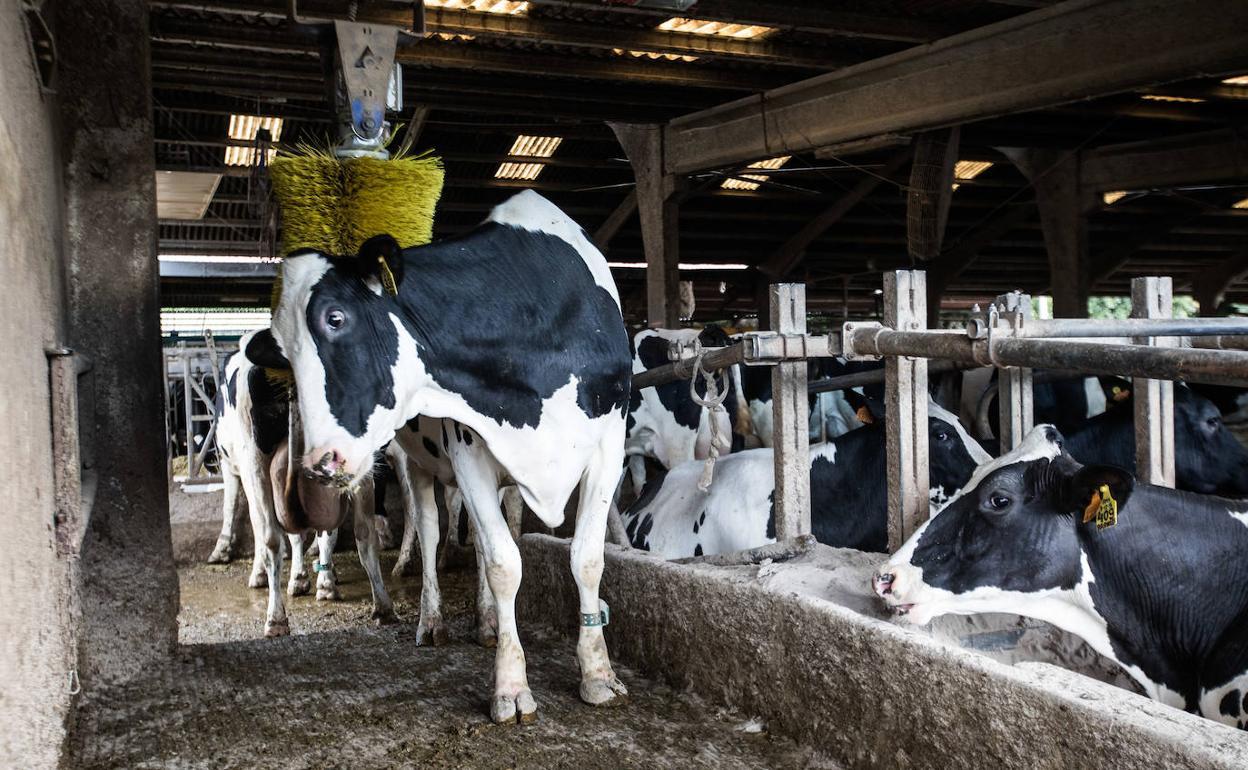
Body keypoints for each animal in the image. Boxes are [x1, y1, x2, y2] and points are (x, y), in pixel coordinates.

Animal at [244, 189, 633, 723]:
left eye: (336, 318)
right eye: (283, 352)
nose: (323, 460)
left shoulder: (610, 443)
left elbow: (587, 559)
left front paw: (598, 673)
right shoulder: (468, 452)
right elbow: (504, 564)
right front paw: (511, 686)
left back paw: (487, 622)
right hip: (415, 464)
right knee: (431, 531)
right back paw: (432, 620)